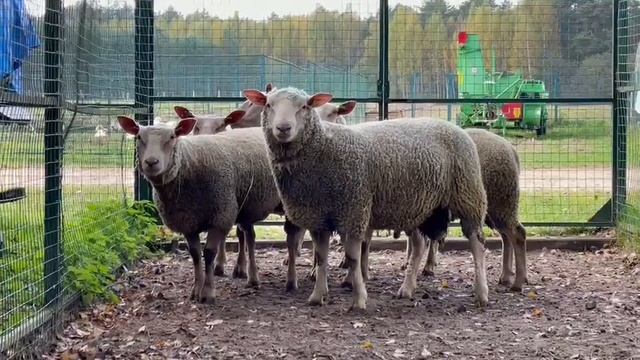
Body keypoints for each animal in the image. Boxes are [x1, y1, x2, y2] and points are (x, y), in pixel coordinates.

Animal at [242, 86, 488, 310]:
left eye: (304, 106)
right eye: (268, 105)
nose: (283, 128)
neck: (325, 148)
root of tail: (452, 125)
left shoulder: (354, 209)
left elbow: (353, 258)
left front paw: (359, 299)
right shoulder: (318, 216)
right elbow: (321, 257)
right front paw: (317, 296)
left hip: (468, 194)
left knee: (477, 242)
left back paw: (481, 293)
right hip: (417, 206)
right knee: (419, 246)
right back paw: (407, 289)